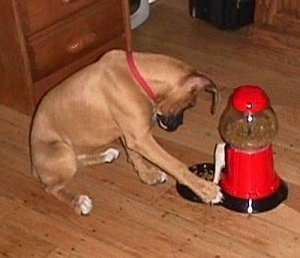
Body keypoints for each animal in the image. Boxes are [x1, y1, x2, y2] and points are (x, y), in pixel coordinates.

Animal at [29, 49, 223, 215]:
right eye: (190, 104)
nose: (179, 125)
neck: (138, 78)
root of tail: (33, 166)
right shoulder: (141, 138)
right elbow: (175, 165)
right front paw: (206, 190)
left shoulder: (131, 133)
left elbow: (134, 155)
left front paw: (147, 176)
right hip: (62, 151)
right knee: (52, 187)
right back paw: (78, 202)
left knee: (79, 161)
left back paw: (106, 155)